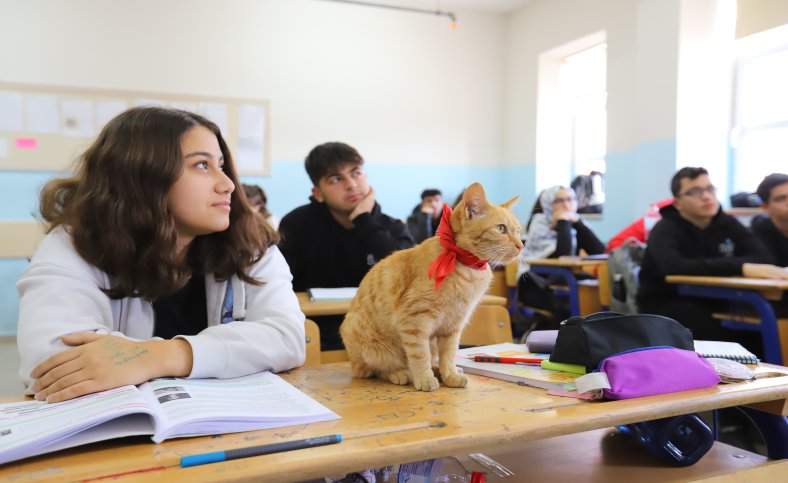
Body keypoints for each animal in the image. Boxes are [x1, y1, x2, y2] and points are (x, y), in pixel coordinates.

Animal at [340, 183, 520, 392]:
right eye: (501, 229)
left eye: (518, 230)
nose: (521, 245)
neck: (463, 263)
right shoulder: (414, 321)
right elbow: (420, 354)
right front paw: (425, 378)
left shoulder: (453, 324)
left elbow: (449, 354)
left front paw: (450, 375)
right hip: (369, 345)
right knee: (375, 369)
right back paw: (401, 373)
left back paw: (440, 369)